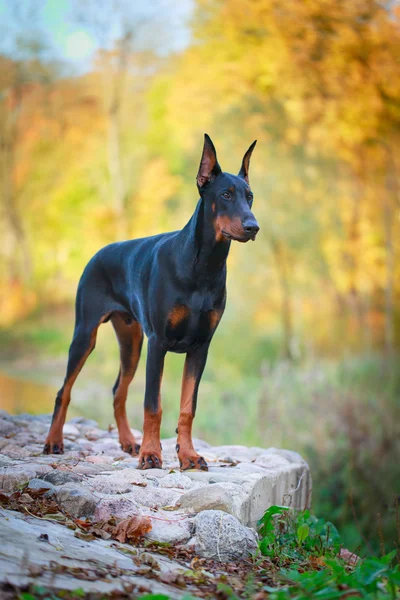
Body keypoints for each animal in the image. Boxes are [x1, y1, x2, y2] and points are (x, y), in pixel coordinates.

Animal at [43, 134, 260, 472]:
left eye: (249, 196)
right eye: (225, 194)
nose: (253, 227)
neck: (203, 266)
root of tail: (98, 252)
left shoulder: (200, 347)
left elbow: (187, 407)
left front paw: (188, 456)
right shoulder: (158, 342)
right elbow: (152, 405)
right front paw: (151, 454)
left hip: (131, 343)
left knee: (118, 392)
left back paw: (127, 442)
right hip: (86, 334)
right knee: (63, 391)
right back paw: (54, 441)